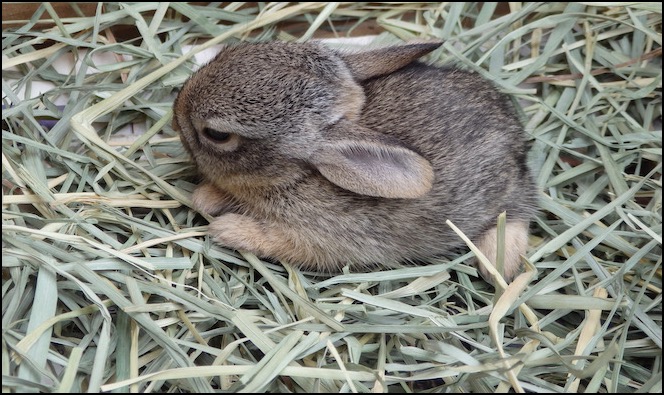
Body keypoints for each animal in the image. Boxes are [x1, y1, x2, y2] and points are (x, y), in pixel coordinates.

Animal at [172, 40, 540, 282]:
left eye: (216, 134)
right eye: (225, 53)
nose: (175, 115)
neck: (299, 175)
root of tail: (515, 135)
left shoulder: (322, 237)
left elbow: (280, 241)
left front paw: (225, 229)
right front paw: (206, 198)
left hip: (505, 194)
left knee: (520, 210)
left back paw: (498, 263)